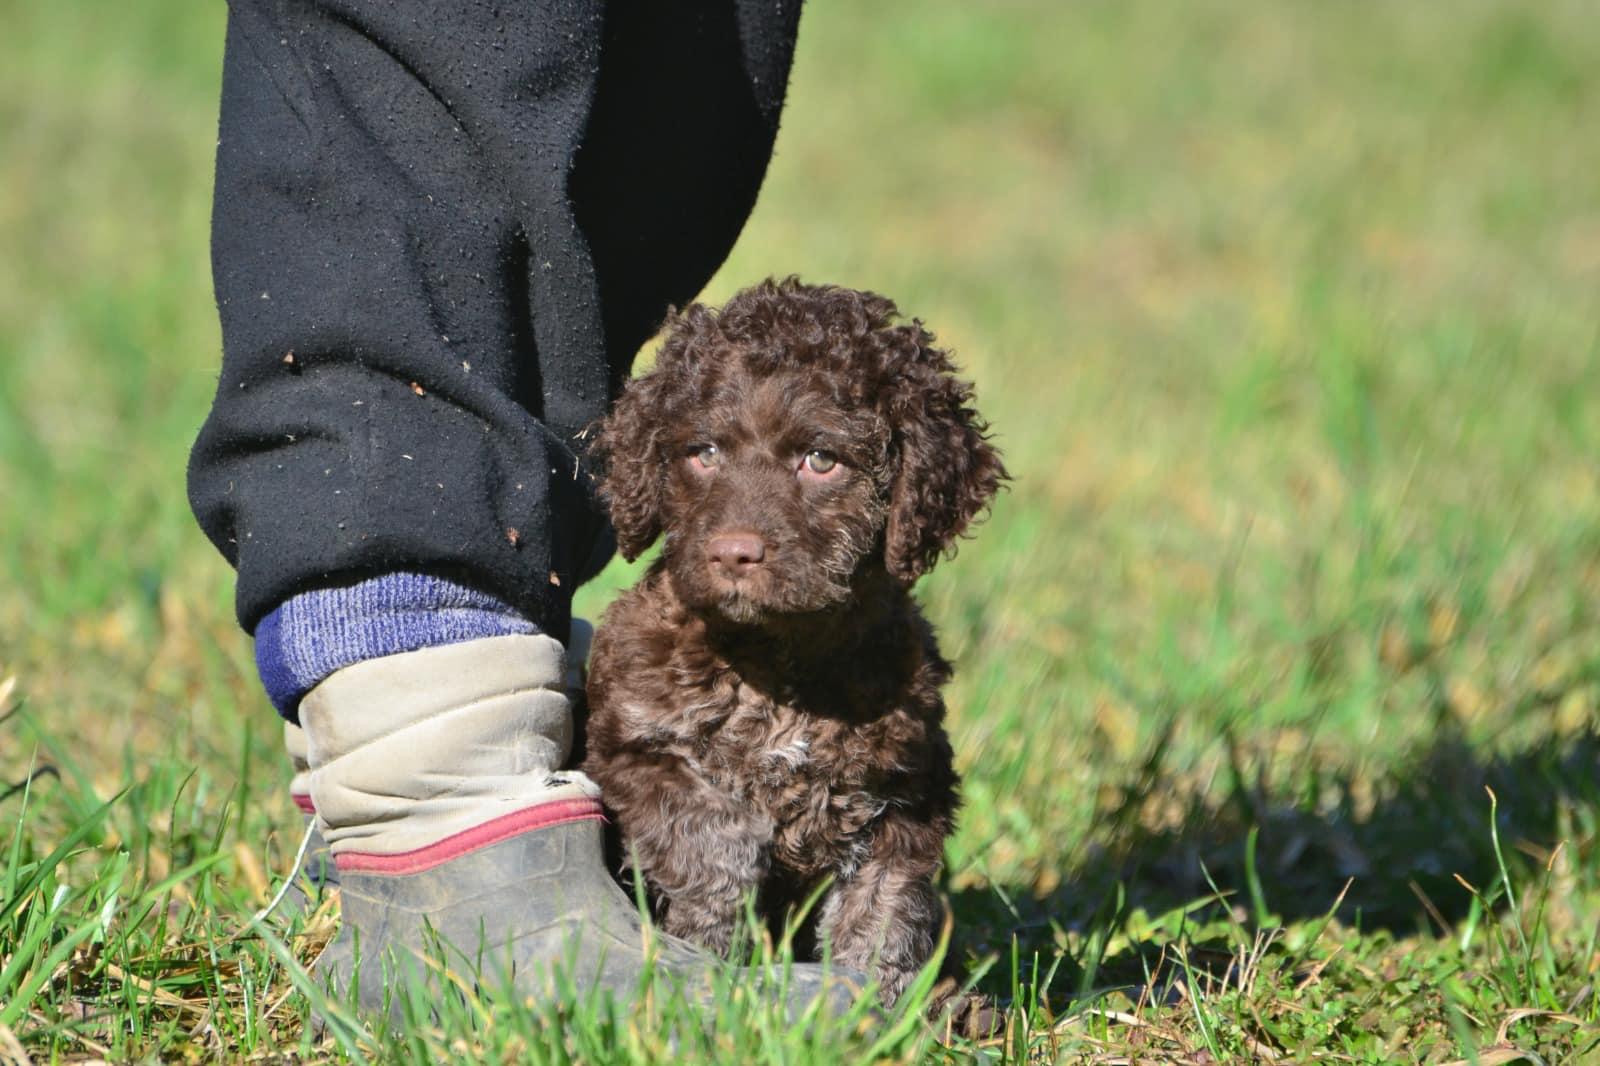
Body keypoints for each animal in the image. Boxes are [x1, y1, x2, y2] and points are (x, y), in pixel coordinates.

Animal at [579, 275, 998, 1005]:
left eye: (821, 460)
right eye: (703, 453)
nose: (733, 553)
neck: (777, 661)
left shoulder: (906, 789)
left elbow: (884, 910)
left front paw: (877, 1003)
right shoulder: (629, 746)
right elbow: (711, 837)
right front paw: (714, 951)